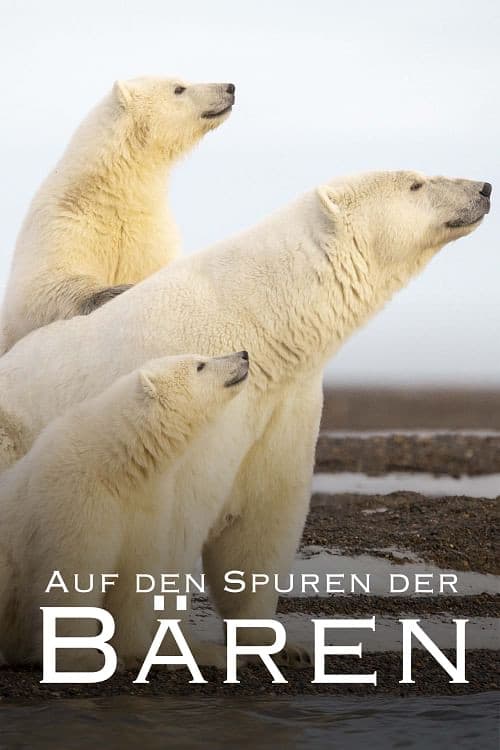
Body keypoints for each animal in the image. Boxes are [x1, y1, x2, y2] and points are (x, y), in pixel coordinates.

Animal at [0, 76, 236, 352]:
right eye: (179, 88)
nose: (229, 87)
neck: (112, 193)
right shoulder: (63, 221)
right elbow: (37, 287)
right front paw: (114, 291)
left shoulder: (148, 232)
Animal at [0, 351, 249, 671]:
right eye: (200, 365)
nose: (243, 354)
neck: (114, 464)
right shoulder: (74, 499)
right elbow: (73, 574)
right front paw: (84, 659)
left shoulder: (145, 505)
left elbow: (135, 575)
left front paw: (137, 650)